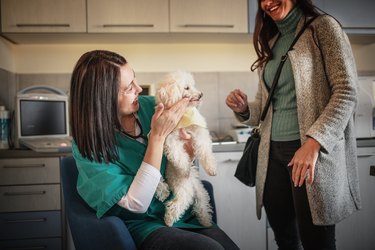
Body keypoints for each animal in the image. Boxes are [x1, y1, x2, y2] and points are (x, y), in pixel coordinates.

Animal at [154, 70, 217, 227]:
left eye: (193, 85)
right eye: (187, 88)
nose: (201, 94)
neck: (183, 115)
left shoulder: (198, 131)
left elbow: (204, 148)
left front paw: (211, 168)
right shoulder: (168, 137)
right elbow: (176, 153)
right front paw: (183, 167)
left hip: (199, 190)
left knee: (201, 203)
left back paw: (206, 221)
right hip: (182, 185)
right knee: (181, 201)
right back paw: (169, 219)